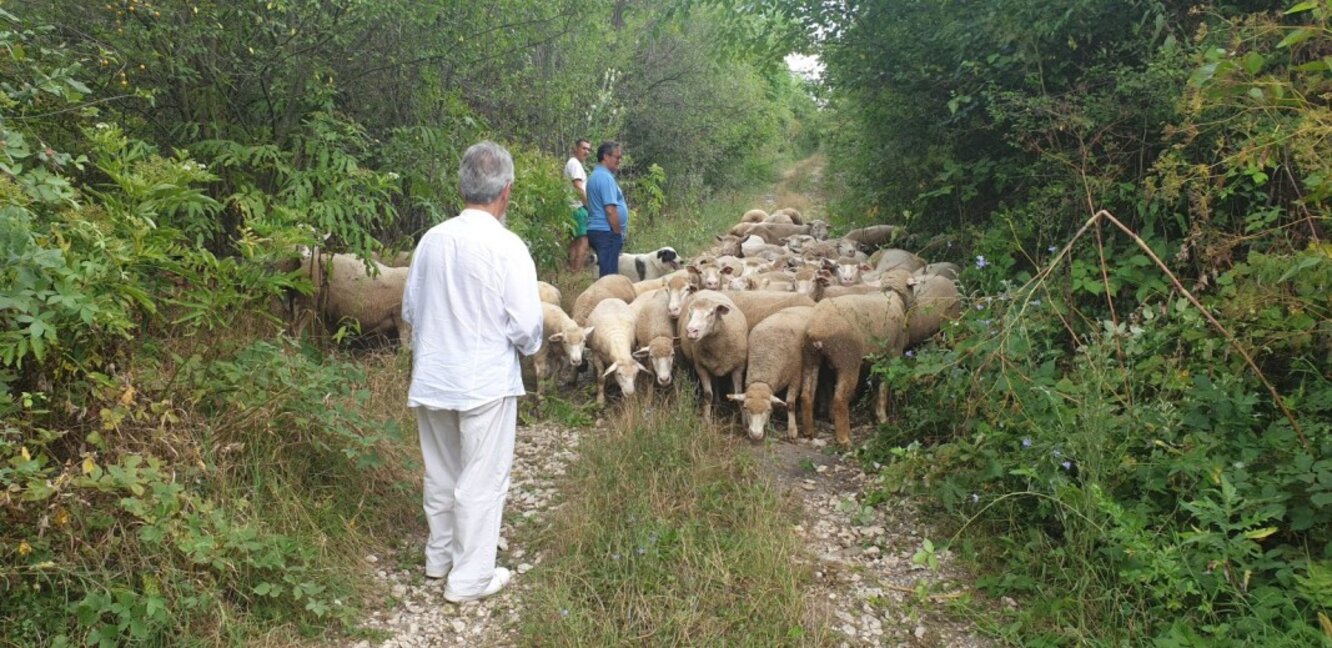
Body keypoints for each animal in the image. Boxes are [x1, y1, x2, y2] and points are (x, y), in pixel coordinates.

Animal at [678, 290, 748, 422]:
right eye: (690, 313)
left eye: (711, 313)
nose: (691, 331)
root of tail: (704, 290)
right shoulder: (700, 366)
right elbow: (708, 395)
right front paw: (706, 420)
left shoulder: (739, 367)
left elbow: (738, 394)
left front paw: (745, 421)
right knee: (714, 383)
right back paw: (717, 403)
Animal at [727, 306, 813, 441]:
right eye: (746, 408)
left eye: (768, 409)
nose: (755, 435)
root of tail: (805, 307)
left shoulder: (795, 375)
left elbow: (790, 403)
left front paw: (792, 430)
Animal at [801, 291, 909, 445]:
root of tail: (816, 329)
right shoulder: (892, 354)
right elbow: (883, 384)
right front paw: (883, 419)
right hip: (848, 360)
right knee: (840, 399)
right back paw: (844, 439)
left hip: (810, 358)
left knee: (807, 394)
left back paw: (809, 431)